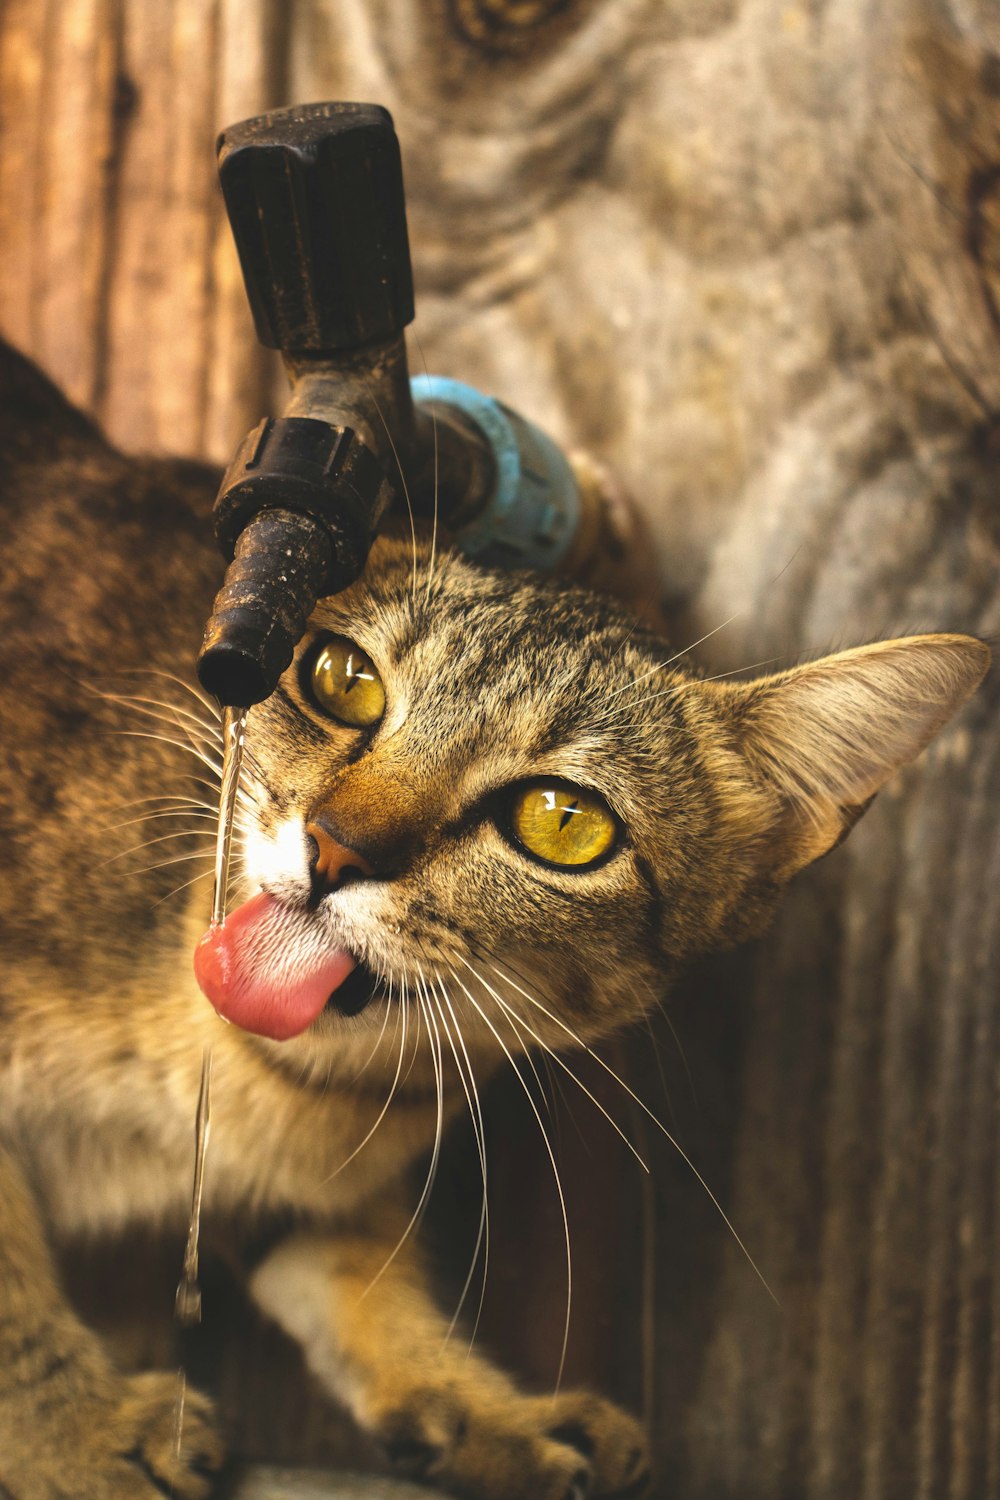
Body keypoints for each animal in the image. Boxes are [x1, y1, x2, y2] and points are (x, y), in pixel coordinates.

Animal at [0, 340, 983, 1500]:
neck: (272, 1081)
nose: (336, 848)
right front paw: (78, 1434)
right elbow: (9, 1296)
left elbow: (360, 1284)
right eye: (341, 678)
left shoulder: (312, 1187)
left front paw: (480, 1410)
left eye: (562, 822)